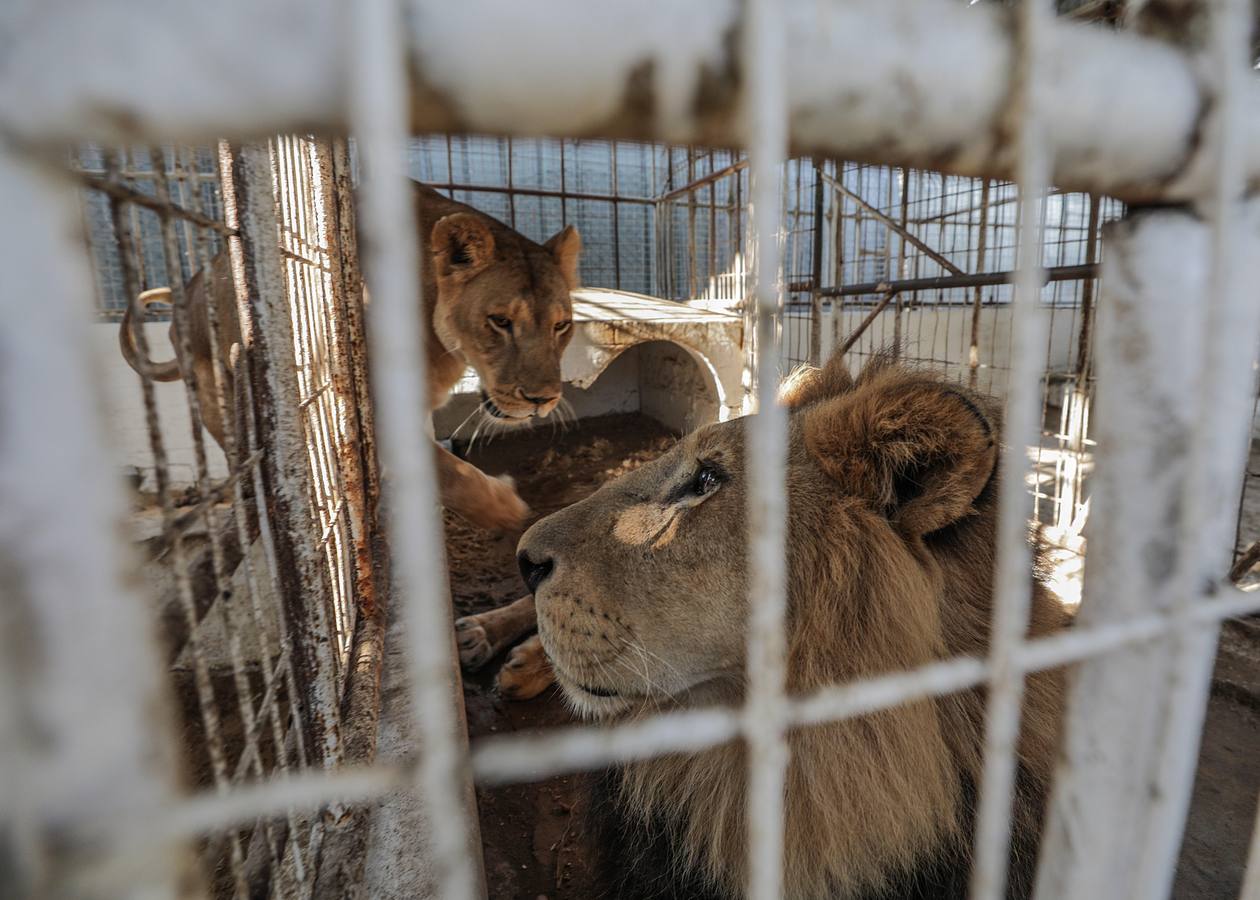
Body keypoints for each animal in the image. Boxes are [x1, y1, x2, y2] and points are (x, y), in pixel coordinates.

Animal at [120, 182, 581, 533]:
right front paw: (506, 507)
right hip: (215, 398)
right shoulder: (370, 406)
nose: (543, 400)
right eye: (500, 321)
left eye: (561, 326)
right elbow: (444, 469)